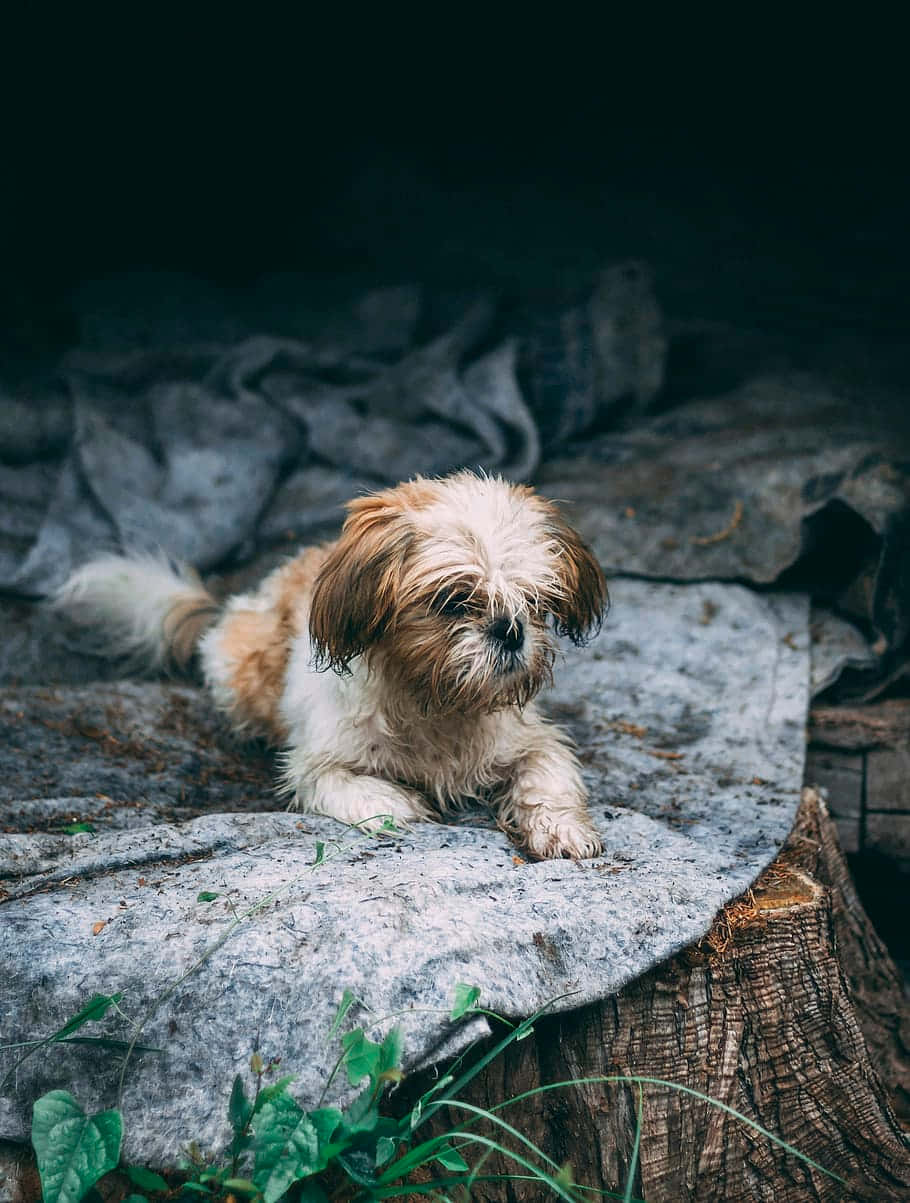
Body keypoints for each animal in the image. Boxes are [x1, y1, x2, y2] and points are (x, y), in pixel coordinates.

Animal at [58, 466, 611, 856]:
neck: (435, 702)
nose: (509, 631)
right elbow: (353, 786)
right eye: (452, 601)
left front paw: (560, 828)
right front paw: (397, 803)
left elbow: (547, 775)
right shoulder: (315, 765)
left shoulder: (532, 740)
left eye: (537, 601)